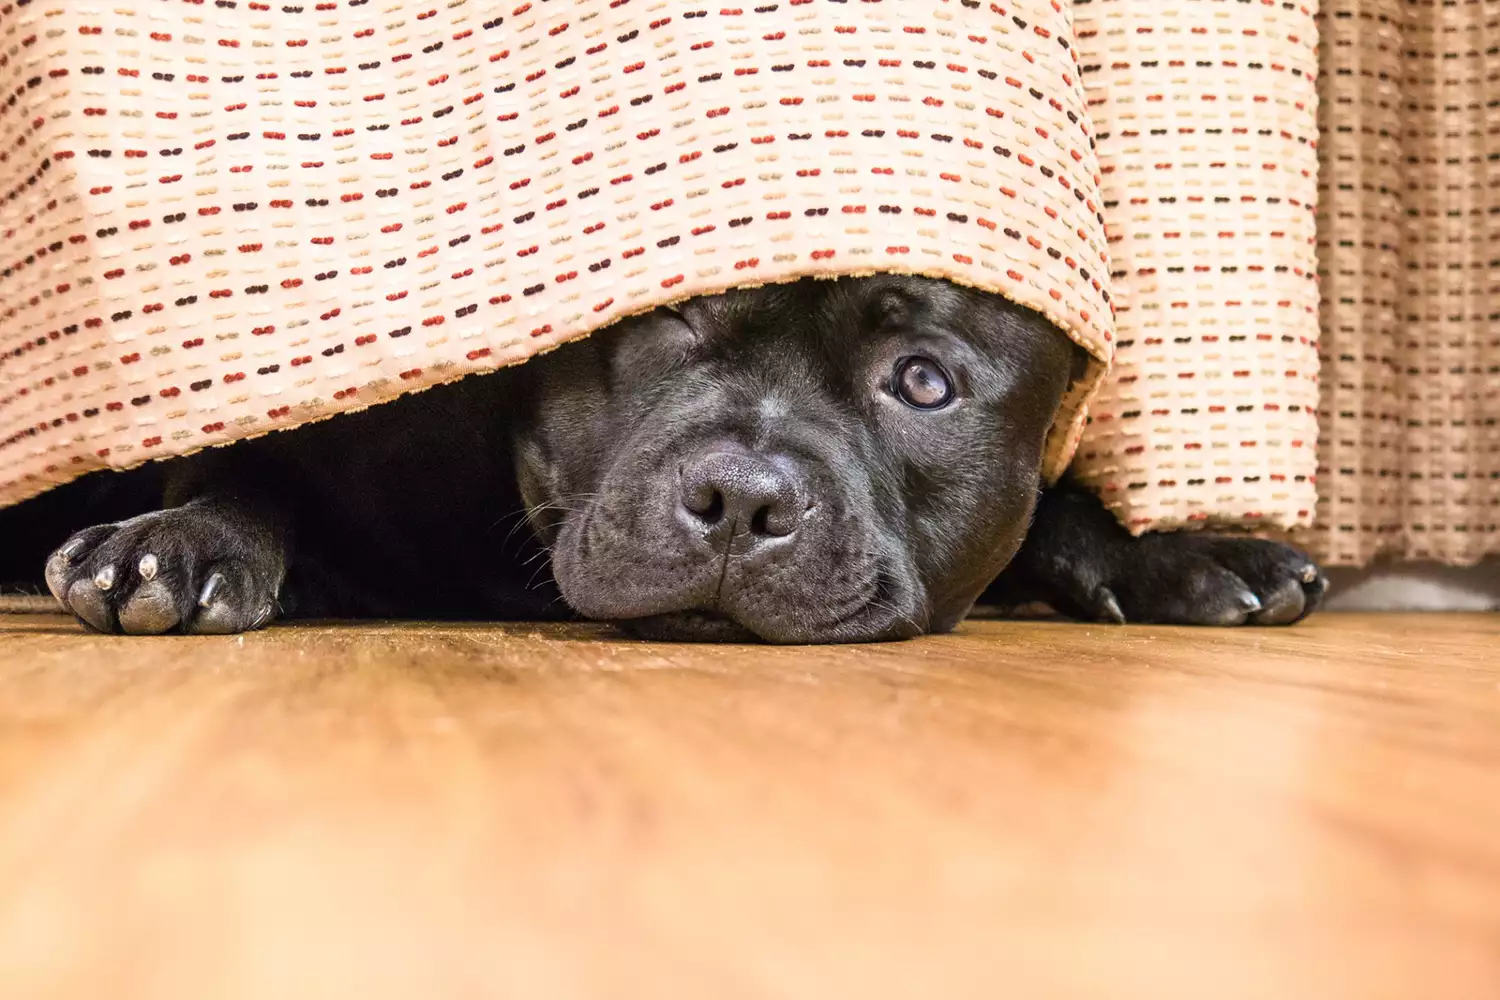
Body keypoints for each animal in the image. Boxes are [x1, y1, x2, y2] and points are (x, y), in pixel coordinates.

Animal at [20, 277, 1326, 644]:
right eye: (671, 316)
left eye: (923, 381)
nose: (742, 496)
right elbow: (237, 466)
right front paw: (181, 541)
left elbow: (1054, 505)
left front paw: (1183, 550)